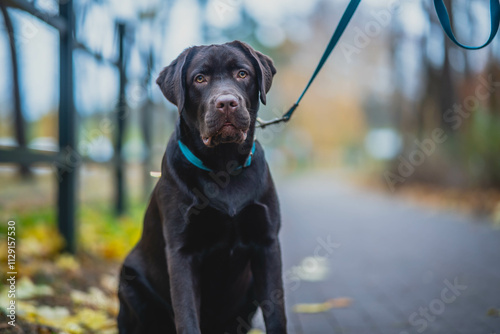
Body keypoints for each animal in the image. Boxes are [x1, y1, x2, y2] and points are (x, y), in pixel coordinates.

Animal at [117, 40, 288, 332]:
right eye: (199, 78)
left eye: (242, 73)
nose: (227, 102)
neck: (223, 167)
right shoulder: (182, 252)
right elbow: (186, 316)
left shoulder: (267, 243)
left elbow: (277, 315)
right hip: (129, 282)